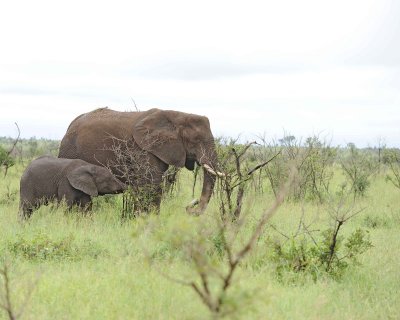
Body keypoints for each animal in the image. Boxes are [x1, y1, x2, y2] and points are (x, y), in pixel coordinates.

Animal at [58, 107, 220, 215]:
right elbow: (151, 184)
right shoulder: (142, 149)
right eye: (196, 140)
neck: (177, 116)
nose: (191, 204)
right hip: (69, 150)